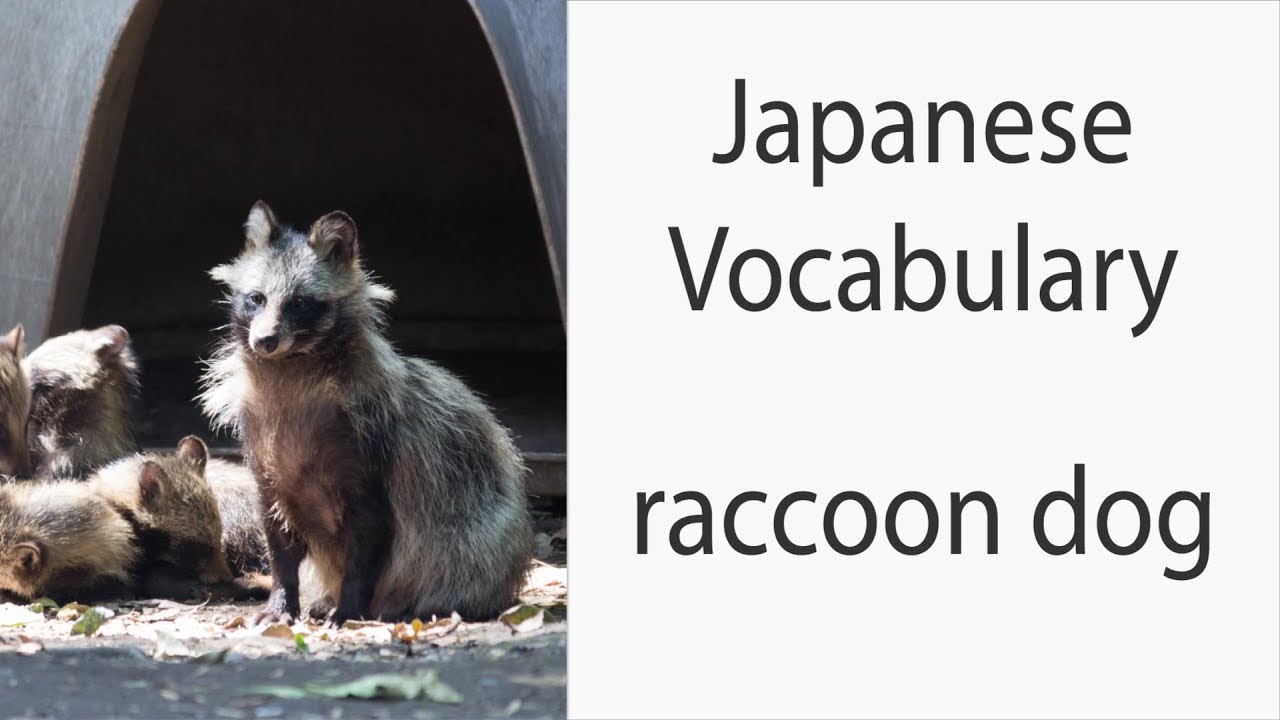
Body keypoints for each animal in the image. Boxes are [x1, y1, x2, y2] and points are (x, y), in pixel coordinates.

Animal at [201, 201, 533, 623]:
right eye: (256, 298)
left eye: (299, 303)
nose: (265, 341)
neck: (292, 371)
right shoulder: (263, 453)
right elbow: (277, 537)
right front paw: (282, 596)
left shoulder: (372, 442)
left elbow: (371, 533)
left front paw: (350, 605)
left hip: (480, 539)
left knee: (462, 553)